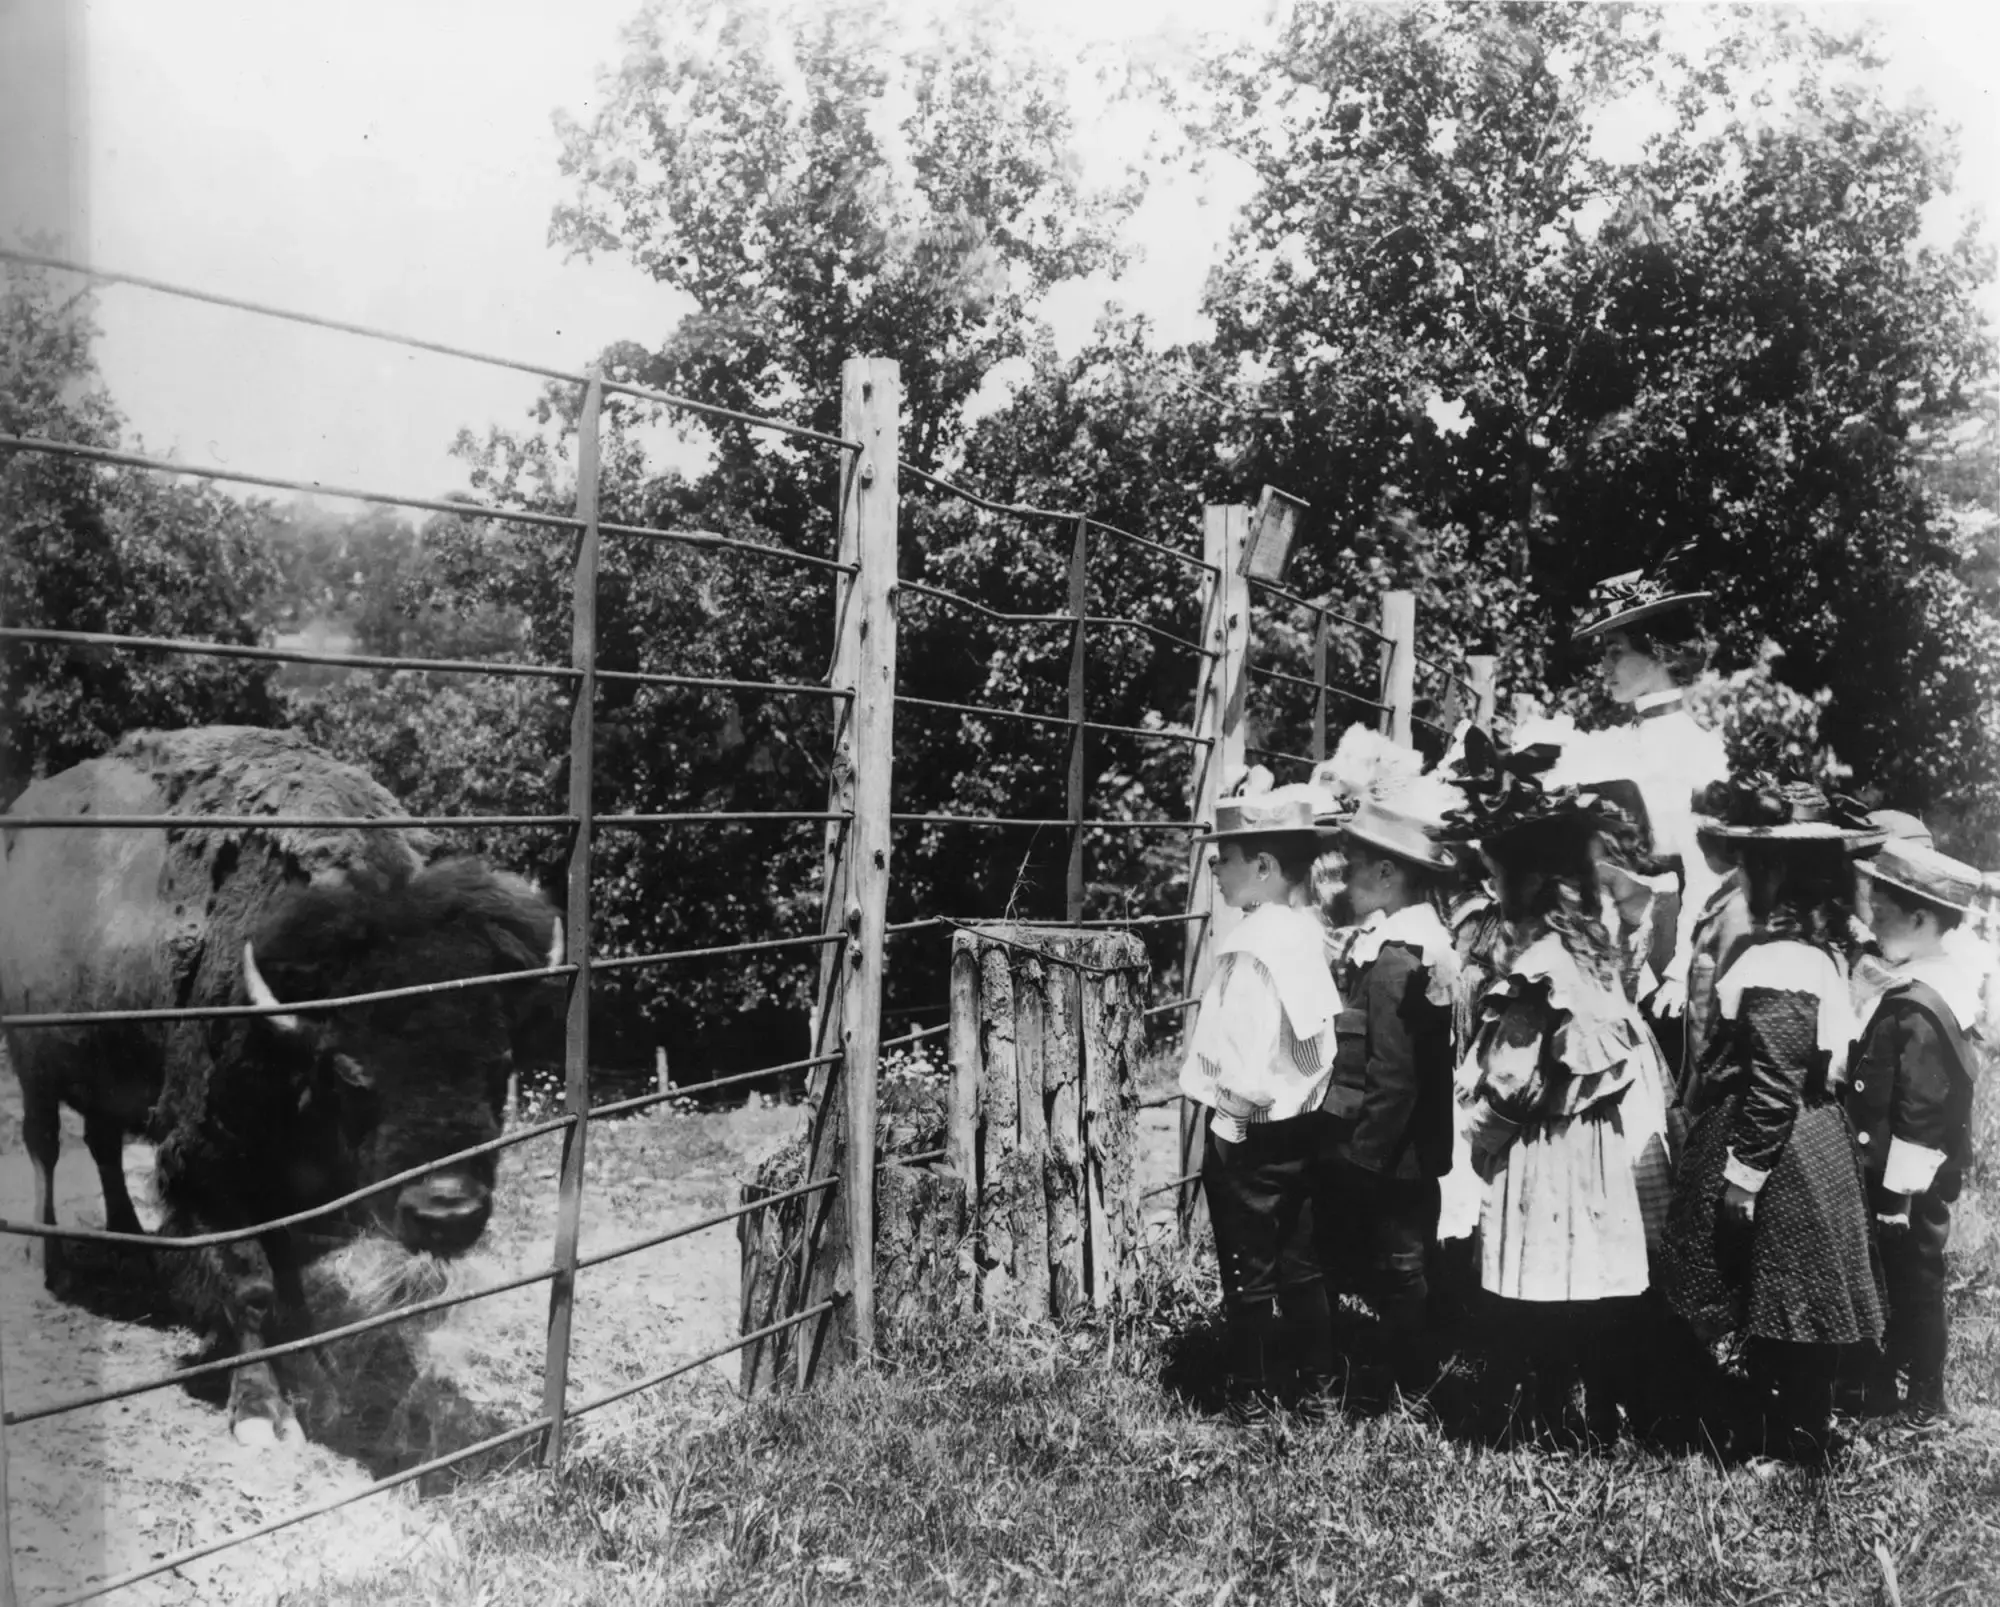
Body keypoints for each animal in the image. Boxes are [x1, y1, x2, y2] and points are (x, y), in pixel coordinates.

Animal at [1, 727, 564, 1447]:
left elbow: (291, 1275)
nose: (447, 1213)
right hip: (33, 1063)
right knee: (43, 1145)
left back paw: (132, 1243)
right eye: (353, 1074)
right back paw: (47, 1260)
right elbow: (252, 1284)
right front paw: (261, 1412)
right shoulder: (211, 1170)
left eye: (500, 1064)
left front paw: (319, 1380)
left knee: (101, 1146)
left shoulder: (293, 1184)